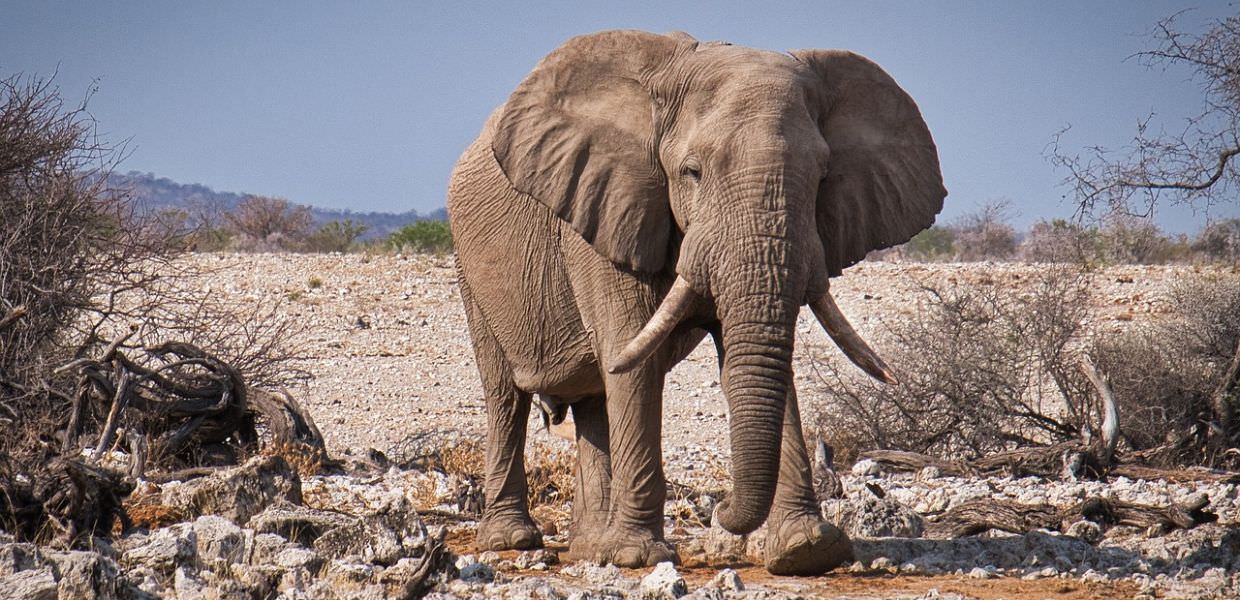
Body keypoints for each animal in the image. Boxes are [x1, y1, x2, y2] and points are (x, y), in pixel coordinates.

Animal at [446, 30, 945, 575]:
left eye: (821, 178)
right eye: (692, 172)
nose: (722, 511)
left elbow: (752, 358)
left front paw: (808, 549)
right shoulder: (606, 211)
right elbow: (632, 358)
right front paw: (637, 556)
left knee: (595, 400)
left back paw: (588, 548)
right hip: (470, 267)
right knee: (506, 396)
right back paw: (513, 541)